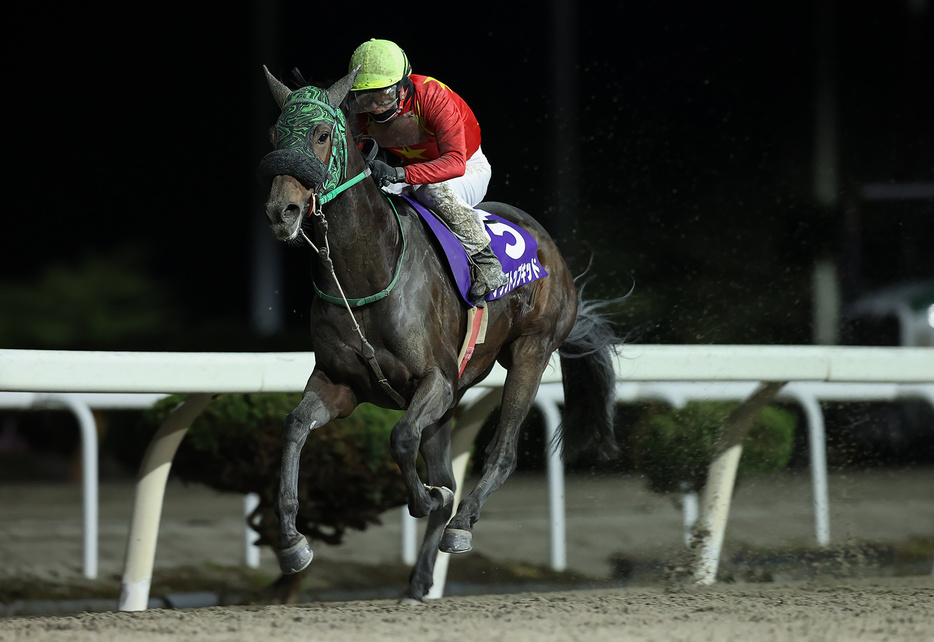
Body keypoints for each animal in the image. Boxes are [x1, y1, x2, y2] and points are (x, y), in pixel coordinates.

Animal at [256, 66, 620, 600]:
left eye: (322, 135)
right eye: (274, 135)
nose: (281, 212)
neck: (367, 272)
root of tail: (550, 245)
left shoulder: (437, 380)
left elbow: (403, 438)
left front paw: (425, 497)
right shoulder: (340, 384)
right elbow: (295, 427)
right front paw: (291, 542)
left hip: (530, 352)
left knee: (502, 453)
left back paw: (461, 524)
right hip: (455, 401)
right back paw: (419, 578)